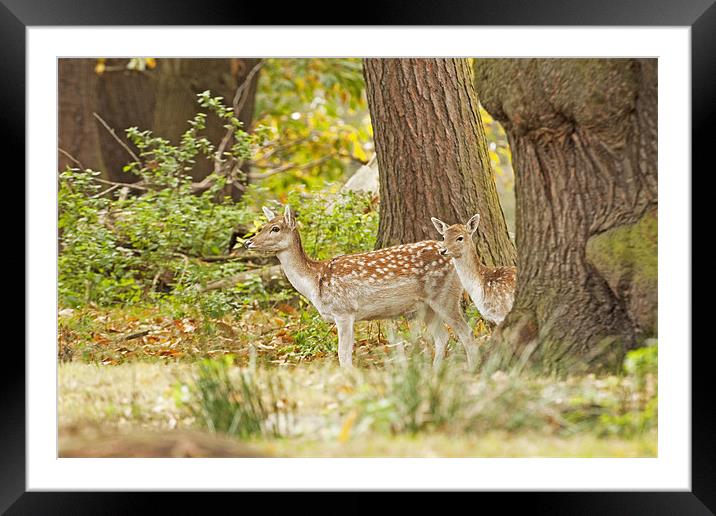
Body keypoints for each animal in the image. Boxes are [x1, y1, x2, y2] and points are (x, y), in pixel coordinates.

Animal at [245, 204, 476, 368]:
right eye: (263, 226)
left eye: (275, 228)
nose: (248, 242)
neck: (315, 281)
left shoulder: (344, 311)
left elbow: (343, 355)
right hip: (426, 306)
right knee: (443, 337)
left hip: (445, 296)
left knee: (466, 332)